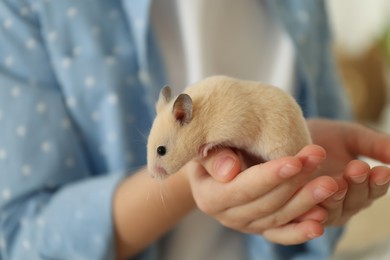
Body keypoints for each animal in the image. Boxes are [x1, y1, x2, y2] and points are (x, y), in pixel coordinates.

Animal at [145, 75, 310, 179]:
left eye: (161, 150)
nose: (152, 176)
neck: (201, 119)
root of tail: (307, 141)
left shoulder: (230, 125)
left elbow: (215, 141)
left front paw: (203, 151)